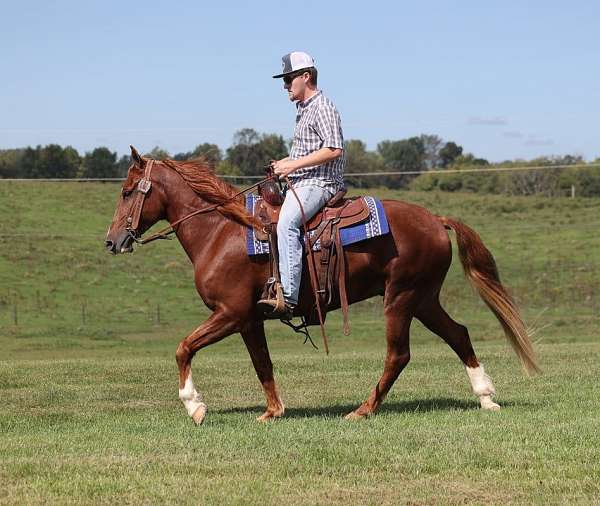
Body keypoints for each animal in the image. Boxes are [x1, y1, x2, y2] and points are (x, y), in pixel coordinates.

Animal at [104, 145, 540, 422]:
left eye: (127, 192)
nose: (112, 241)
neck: (221, 231)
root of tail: (435, 219)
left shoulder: (231, 314)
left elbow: (184, 348)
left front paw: (194, 405)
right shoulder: (249, 320)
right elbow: (262, 363)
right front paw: (272, 411)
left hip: (401, 298)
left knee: (399, 355)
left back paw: (364, 409)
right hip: (424, 299)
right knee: (458, 334)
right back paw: (485, 398)